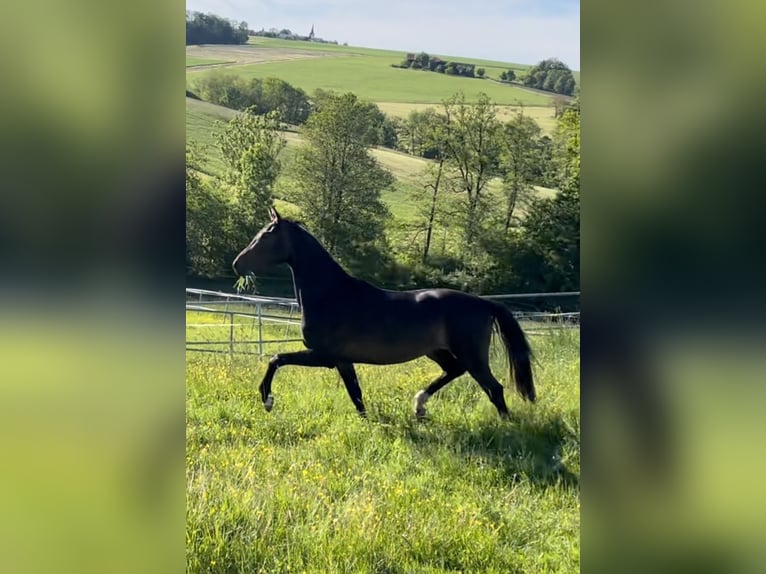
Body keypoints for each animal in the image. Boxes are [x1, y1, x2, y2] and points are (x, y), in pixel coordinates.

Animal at [231, 209, 536, 420]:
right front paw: (370, 424)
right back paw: (419, 406)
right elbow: (356, 394)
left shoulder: (325, 356)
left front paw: (267, 400)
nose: (237, 264)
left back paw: (506, 425)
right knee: (454, 370)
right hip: (436, 350)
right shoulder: (342, 361)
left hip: (472, 355)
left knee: (494, 388)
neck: (330, 294)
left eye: (265, 236)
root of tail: (485, 303)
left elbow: (276, 358)